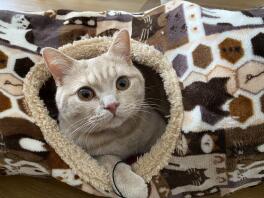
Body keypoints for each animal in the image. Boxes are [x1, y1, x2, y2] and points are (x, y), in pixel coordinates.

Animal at [42, 29, 165, 198]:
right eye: (85, 94)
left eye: (122, 83)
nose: (111, 105)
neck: (120, 134)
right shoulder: (93, 156)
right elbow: (111, 162)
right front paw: (132, 186)